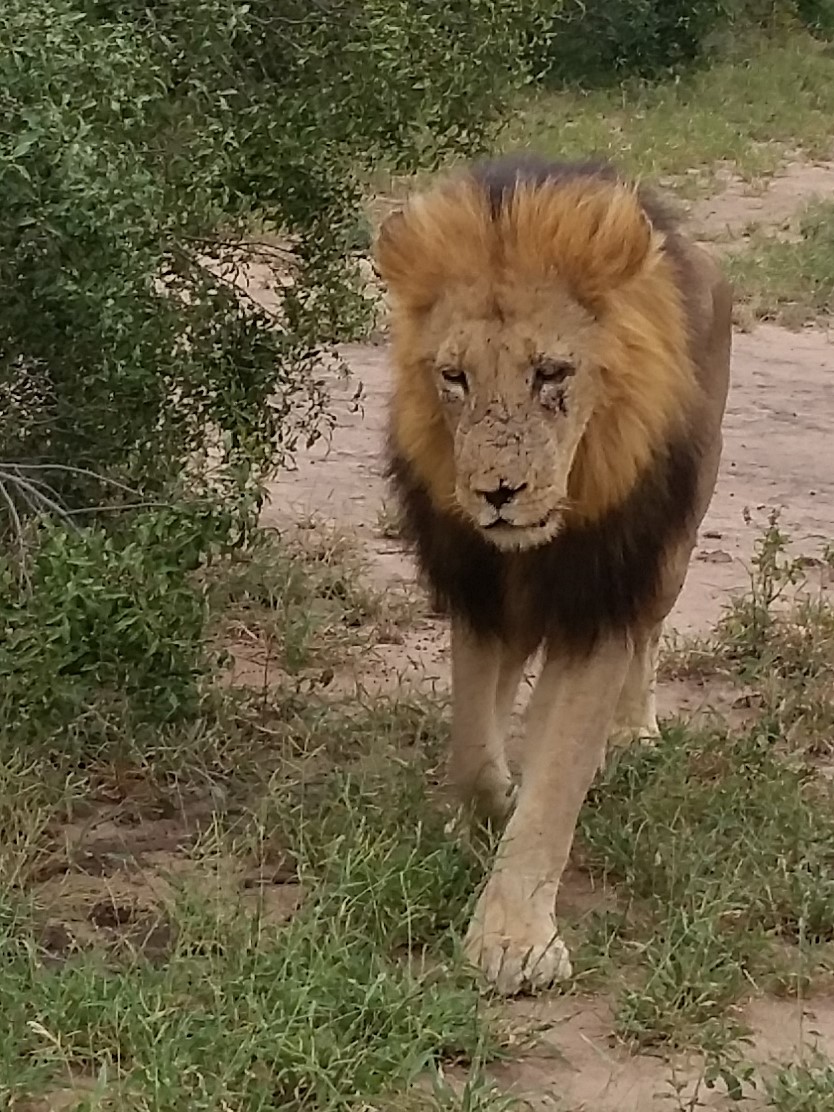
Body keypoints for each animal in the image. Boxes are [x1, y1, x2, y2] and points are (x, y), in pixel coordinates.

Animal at [373, 153, 731, 995]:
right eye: (454, 377)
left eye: (552, 372)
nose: (496, 493)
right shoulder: (481, 590)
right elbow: (475, 746)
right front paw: (482, 807)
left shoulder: (599, 600)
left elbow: (559, 776)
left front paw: (513, 942)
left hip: (673, 553)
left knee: (649, 638)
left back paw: (631, 729)